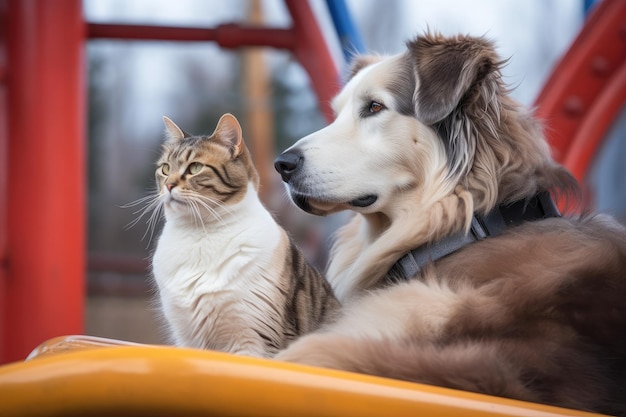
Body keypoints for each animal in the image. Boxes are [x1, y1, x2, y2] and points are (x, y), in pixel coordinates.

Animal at [144, 114, 338, 358]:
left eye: (195, 167)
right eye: (165, 168)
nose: (169, 184)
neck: (198, 231)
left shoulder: (252, 341)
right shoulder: (187, 338)